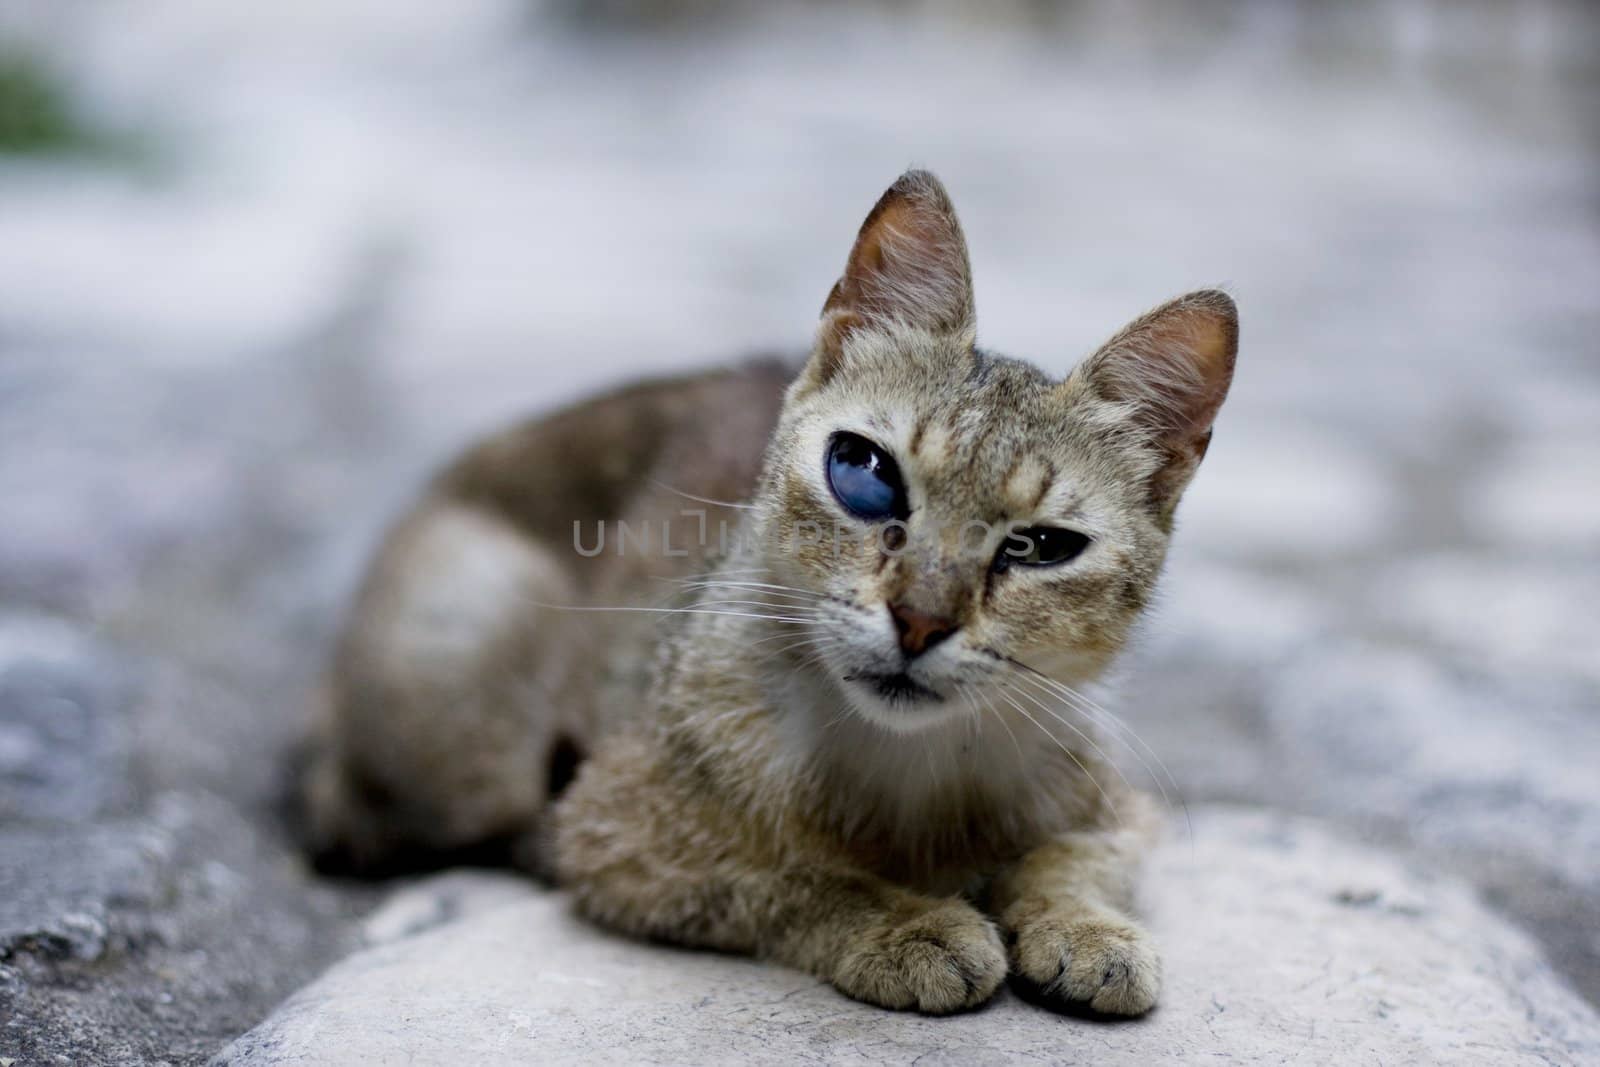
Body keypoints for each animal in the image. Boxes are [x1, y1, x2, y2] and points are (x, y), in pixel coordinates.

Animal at [305, 171, 1241, 1017]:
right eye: (863, 472)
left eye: (1041, 546)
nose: (919, 620)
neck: (908, 769)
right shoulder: (619, 838)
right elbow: (792, 874)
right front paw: (907, 925)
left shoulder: (1122, 810)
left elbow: (1073, 858)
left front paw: (1084, 927)